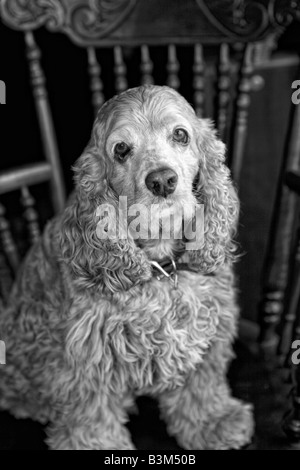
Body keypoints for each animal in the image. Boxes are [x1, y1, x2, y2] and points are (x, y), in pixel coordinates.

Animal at [0, 86, 253, 450]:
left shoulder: (210, 330)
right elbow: (93, 418)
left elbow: (201, 387)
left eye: (180, 135)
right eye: (121, 149)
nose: (162, 181)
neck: (161, 267)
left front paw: (214, 422)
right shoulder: (89, 358)